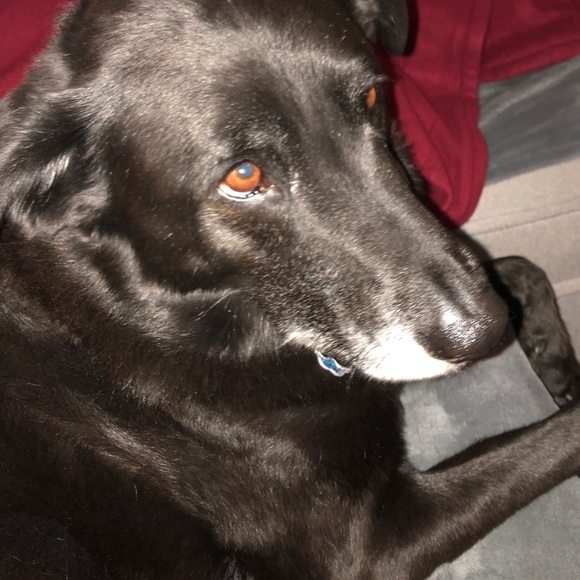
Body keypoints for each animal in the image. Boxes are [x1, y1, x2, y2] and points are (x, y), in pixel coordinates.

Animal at [0, 0, 579, 578]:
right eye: (243, 176)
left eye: (373, 98)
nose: (485, 332)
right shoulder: (368, 546)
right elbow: (564, 432)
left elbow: (521, 267)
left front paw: (556, 362)